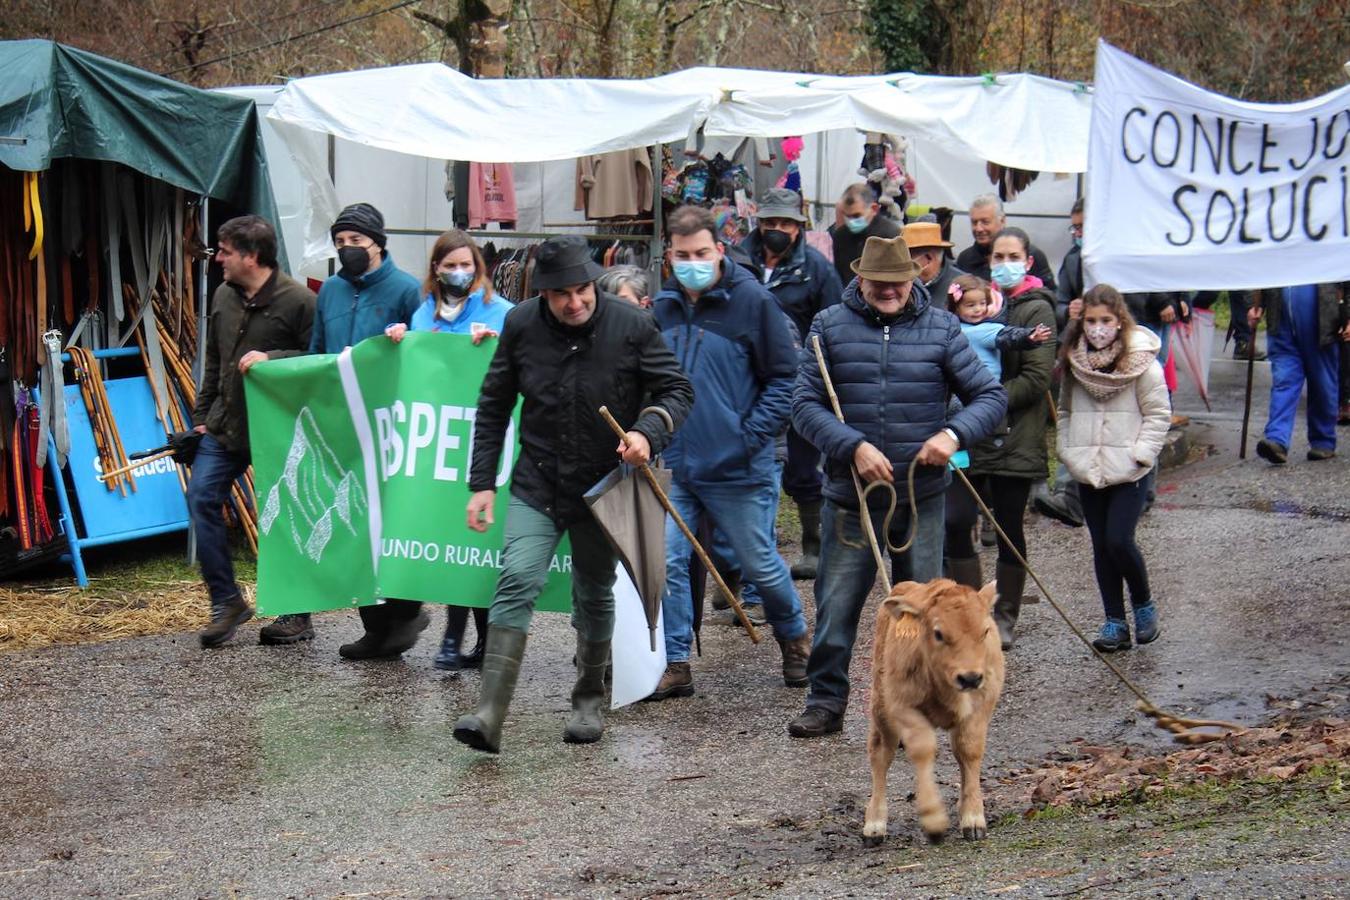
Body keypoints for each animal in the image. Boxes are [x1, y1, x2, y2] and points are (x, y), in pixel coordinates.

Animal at [864, 577, 1004, 847]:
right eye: (938, 633)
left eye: (985, 631)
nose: (970, 678)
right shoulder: (902, 707)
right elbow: (923, 749)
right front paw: (934, 821)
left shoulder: (981, 705)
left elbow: (969, 752)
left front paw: (973, 818)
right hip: (881, 710)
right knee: (880, 755)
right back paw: (874, 824)